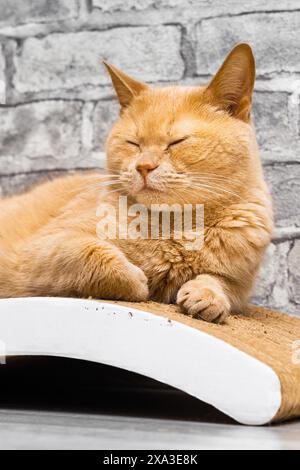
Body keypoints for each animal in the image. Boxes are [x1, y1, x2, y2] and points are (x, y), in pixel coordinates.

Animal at [0, 44, 272, 324]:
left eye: (177, 141)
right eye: (134, 143)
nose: (144, 166)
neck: (173, 227)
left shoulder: (240, 286)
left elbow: (219, 282)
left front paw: (207, 296)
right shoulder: (41, 248)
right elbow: (89, 253)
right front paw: (136, 279)